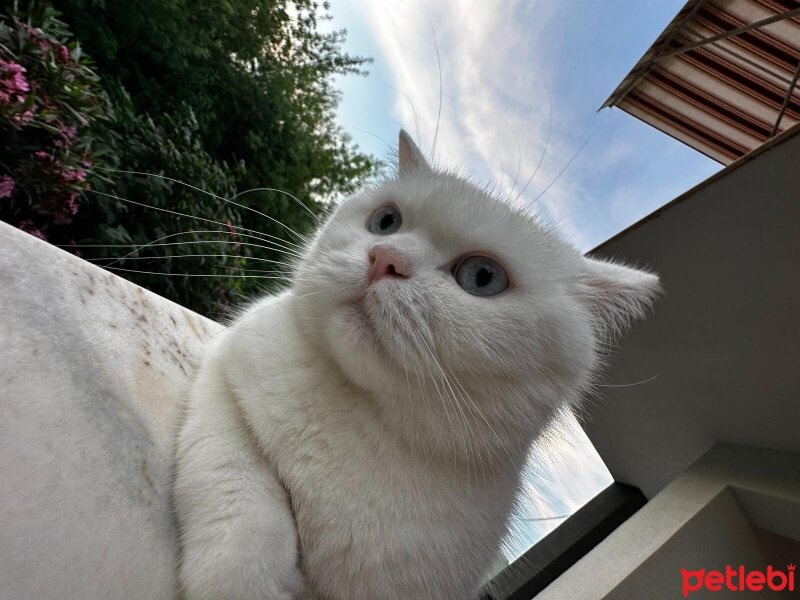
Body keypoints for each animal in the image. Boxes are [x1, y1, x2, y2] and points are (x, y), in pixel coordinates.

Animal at [172, 132, 660, 600]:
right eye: (386, 221)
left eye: (482, 277)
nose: (385, 257)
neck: (355, 412)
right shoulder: (223, 379)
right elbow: (238, 485)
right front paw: (246, 575)